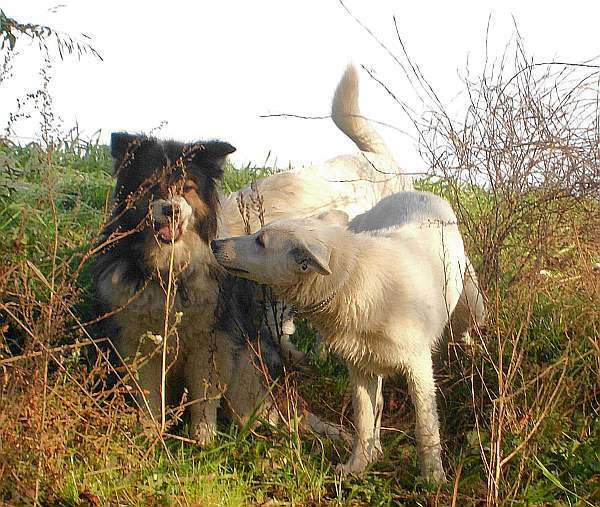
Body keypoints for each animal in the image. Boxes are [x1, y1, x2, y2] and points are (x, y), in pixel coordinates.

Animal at [212, 191, 474, 484]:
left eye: (260, 241)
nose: (214, 243)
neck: (354, 281)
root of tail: (417, 193)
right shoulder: (358, 368)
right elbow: (363, 419)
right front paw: (357, 467)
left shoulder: (419, 369)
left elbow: (425, 426)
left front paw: (433, 479)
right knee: (377, 403)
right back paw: (375, 450)